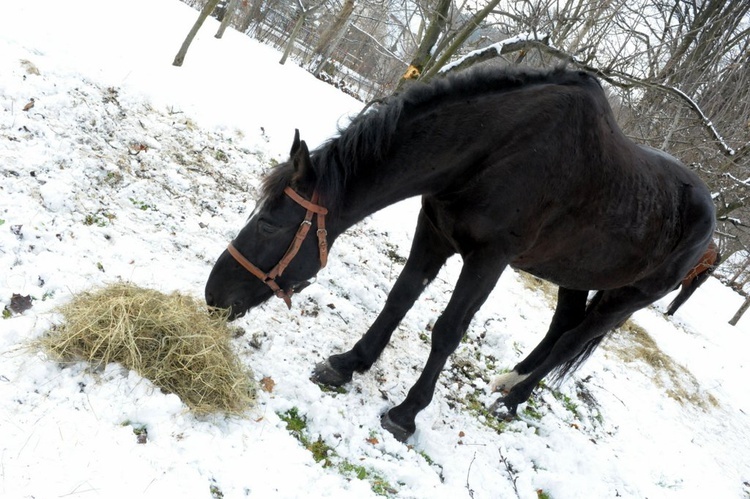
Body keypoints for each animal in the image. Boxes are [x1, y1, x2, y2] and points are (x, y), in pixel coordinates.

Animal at [206, 65, 716, 442]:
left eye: (270, 223)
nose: (214, 295)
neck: (496, 149)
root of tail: (710, 231)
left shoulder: (489, 259)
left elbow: (448, 330)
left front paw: (406, 414)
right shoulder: (434, 232)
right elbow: (400, 297)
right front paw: (348, 364)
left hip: (627, 299)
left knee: (572, 341)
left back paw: (513, 399)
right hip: (574, 275)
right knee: (561, 327)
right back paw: (510, 379)